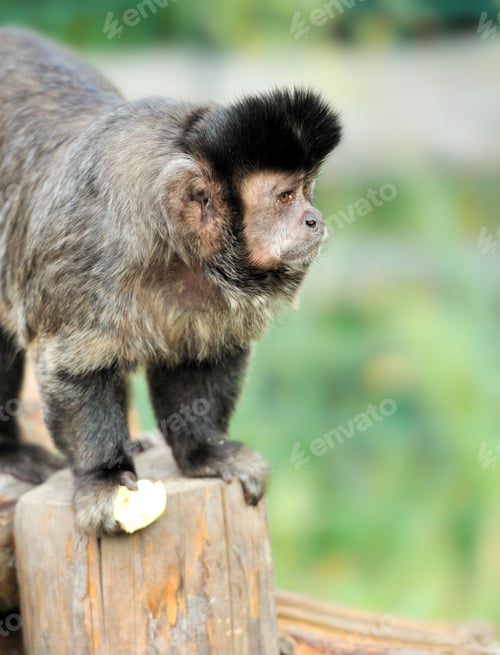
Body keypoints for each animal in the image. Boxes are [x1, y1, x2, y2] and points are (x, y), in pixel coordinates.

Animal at [0, 28, 341, 534]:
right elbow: (74, 372)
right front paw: (103, 477)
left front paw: (205, 451)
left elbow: (199, 360)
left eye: (305, 190)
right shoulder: (84, 257)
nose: (314, 218)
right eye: (284, 197)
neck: (171, 250)